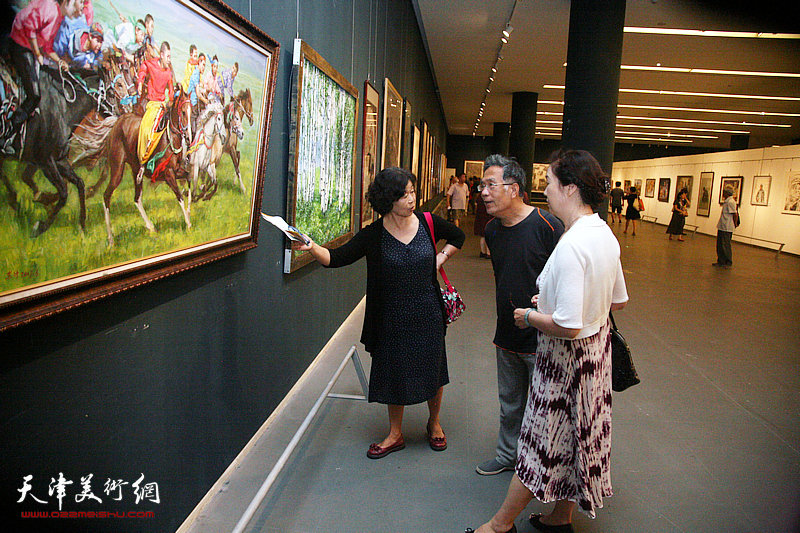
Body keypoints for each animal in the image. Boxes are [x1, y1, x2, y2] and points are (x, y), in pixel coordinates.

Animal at [100, 92, 192, 247]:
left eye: (193, 112)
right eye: (183, 112)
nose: (189, 137)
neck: (169, 138)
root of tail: (118, 123)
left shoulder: (177, 170)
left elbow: (189, 179)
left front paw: (189, 210)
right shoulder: (167, 174)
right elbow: (179, 196)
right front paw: (188, 222)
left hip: (136, 171)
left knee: (137, 198)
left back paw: (151, 227)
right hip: (117, 170)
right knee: (107, 195)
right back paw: (111, 239)